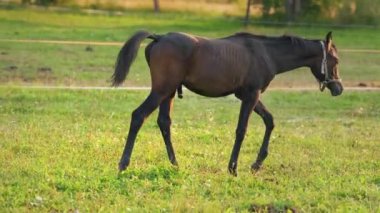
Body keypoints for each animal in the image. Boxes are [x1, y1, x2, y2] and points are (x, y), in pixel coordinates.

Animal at [111, 30, 342, 176]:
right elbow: (241, 130)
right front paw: (233, 168)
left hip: (168, 93)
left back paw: (175, 164)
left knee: (164, 122)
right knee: (139, 115)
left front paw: (257, 164)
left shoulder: (248, 96)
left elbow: (269, 121)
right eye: (336, 60)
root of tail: (159, 38)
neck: (266, 53)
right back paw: (123, 164)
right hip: (161, 91)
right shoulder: (251, 95)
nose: (339, 88)